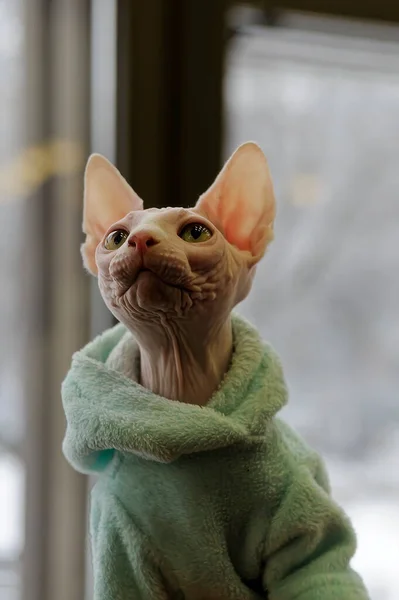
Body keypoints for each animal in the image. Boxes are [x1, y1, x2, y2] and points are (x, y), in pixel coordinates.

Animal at [61, 143, 370, 596]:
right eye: (115, 237)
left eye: (195, 232)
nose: (138, 240)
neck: (182, 389)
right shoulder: (121, 544)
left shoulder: (300, 521)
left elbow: (317, 564)